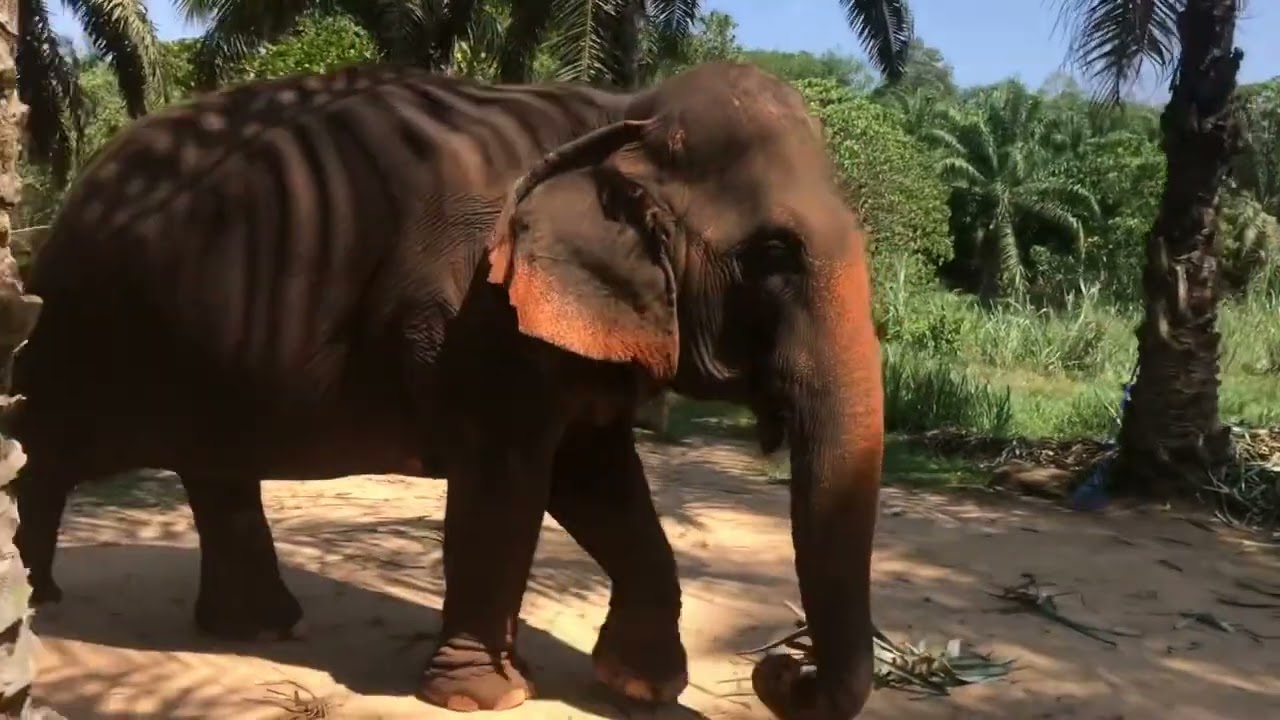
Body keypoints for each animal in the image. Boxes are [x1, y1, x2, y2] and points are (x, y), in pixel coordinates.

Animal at [10, 60, 885, 719]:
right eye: (773, 254)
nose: (783, 663)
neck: (620, 113)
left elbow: (598, 479)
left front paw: (638, 686)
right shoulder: (475, 314)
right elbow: (509, 482)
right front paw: (482, 696)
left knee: (212, 470)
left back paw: (258, 630)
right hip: (76, 325)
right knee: (47, 453)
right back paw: (41, 601)